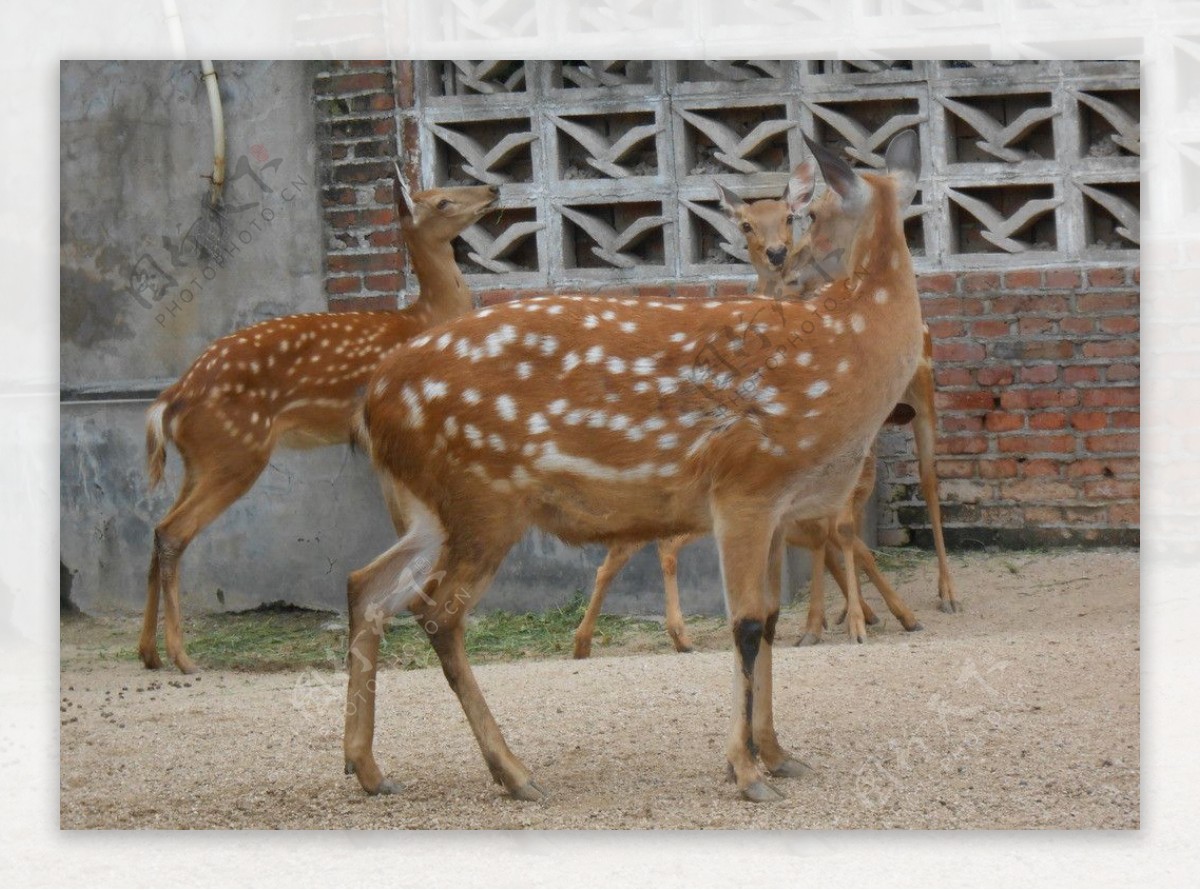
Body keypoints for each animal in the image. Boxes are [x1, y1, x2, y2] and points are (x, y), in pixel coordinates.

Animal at [140, 169, 496, 676]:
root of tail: (171, 397)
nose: (492, 189)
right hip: (236, 451)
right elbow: (404, 522)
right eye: (442, 202)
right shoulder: (379, 433)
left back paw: (147, 652)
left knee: (156, 528)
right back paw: (182, 657)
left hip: (199, 459)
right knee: (172, 532)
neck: (426, 318)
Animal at [571, 157, 955, 662]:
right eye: (745, 224)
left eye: (792, 216)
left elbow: (837, 529)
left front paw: (857, 619)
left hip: (923, 396)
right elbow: (824, 532)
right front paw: (834, 621)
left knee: (927, 481)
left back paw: (940, 595)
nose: (779, 256)